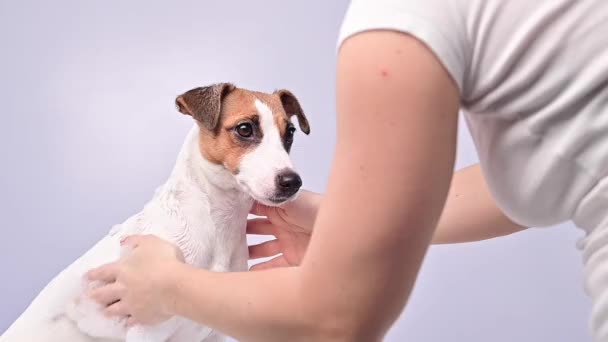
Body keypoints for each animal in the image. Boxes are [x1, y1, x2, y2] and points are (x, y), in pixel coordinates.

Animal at [0, 83, 312, 342]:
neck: (218, 224)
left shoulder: (215, 332)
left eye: (290, 133)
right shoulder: (147, 329)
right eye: (245, 128)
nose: (292, 182)